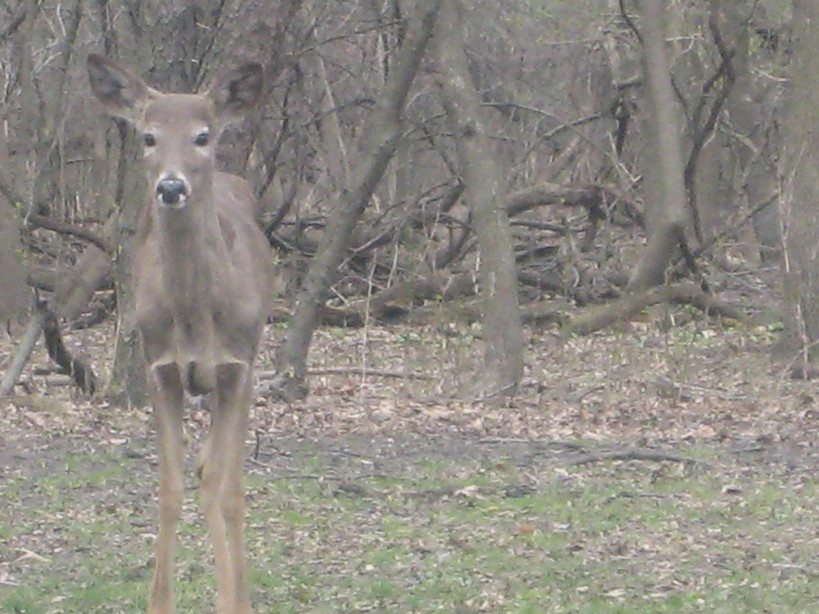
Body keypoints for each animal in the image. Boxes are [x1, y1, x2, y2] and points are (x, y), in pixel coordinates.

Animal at [87, 54, 272, 614]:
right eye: (148, 136)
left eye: (202, 136)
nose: (171, 187)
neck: (196, 317)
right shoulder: (160, 367)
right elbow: (169, 487)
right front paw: (160, 600)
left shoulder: (238, 367)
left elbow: (229, 491)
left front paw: (234, 599)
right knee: (203, 469)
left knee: (221, 477)